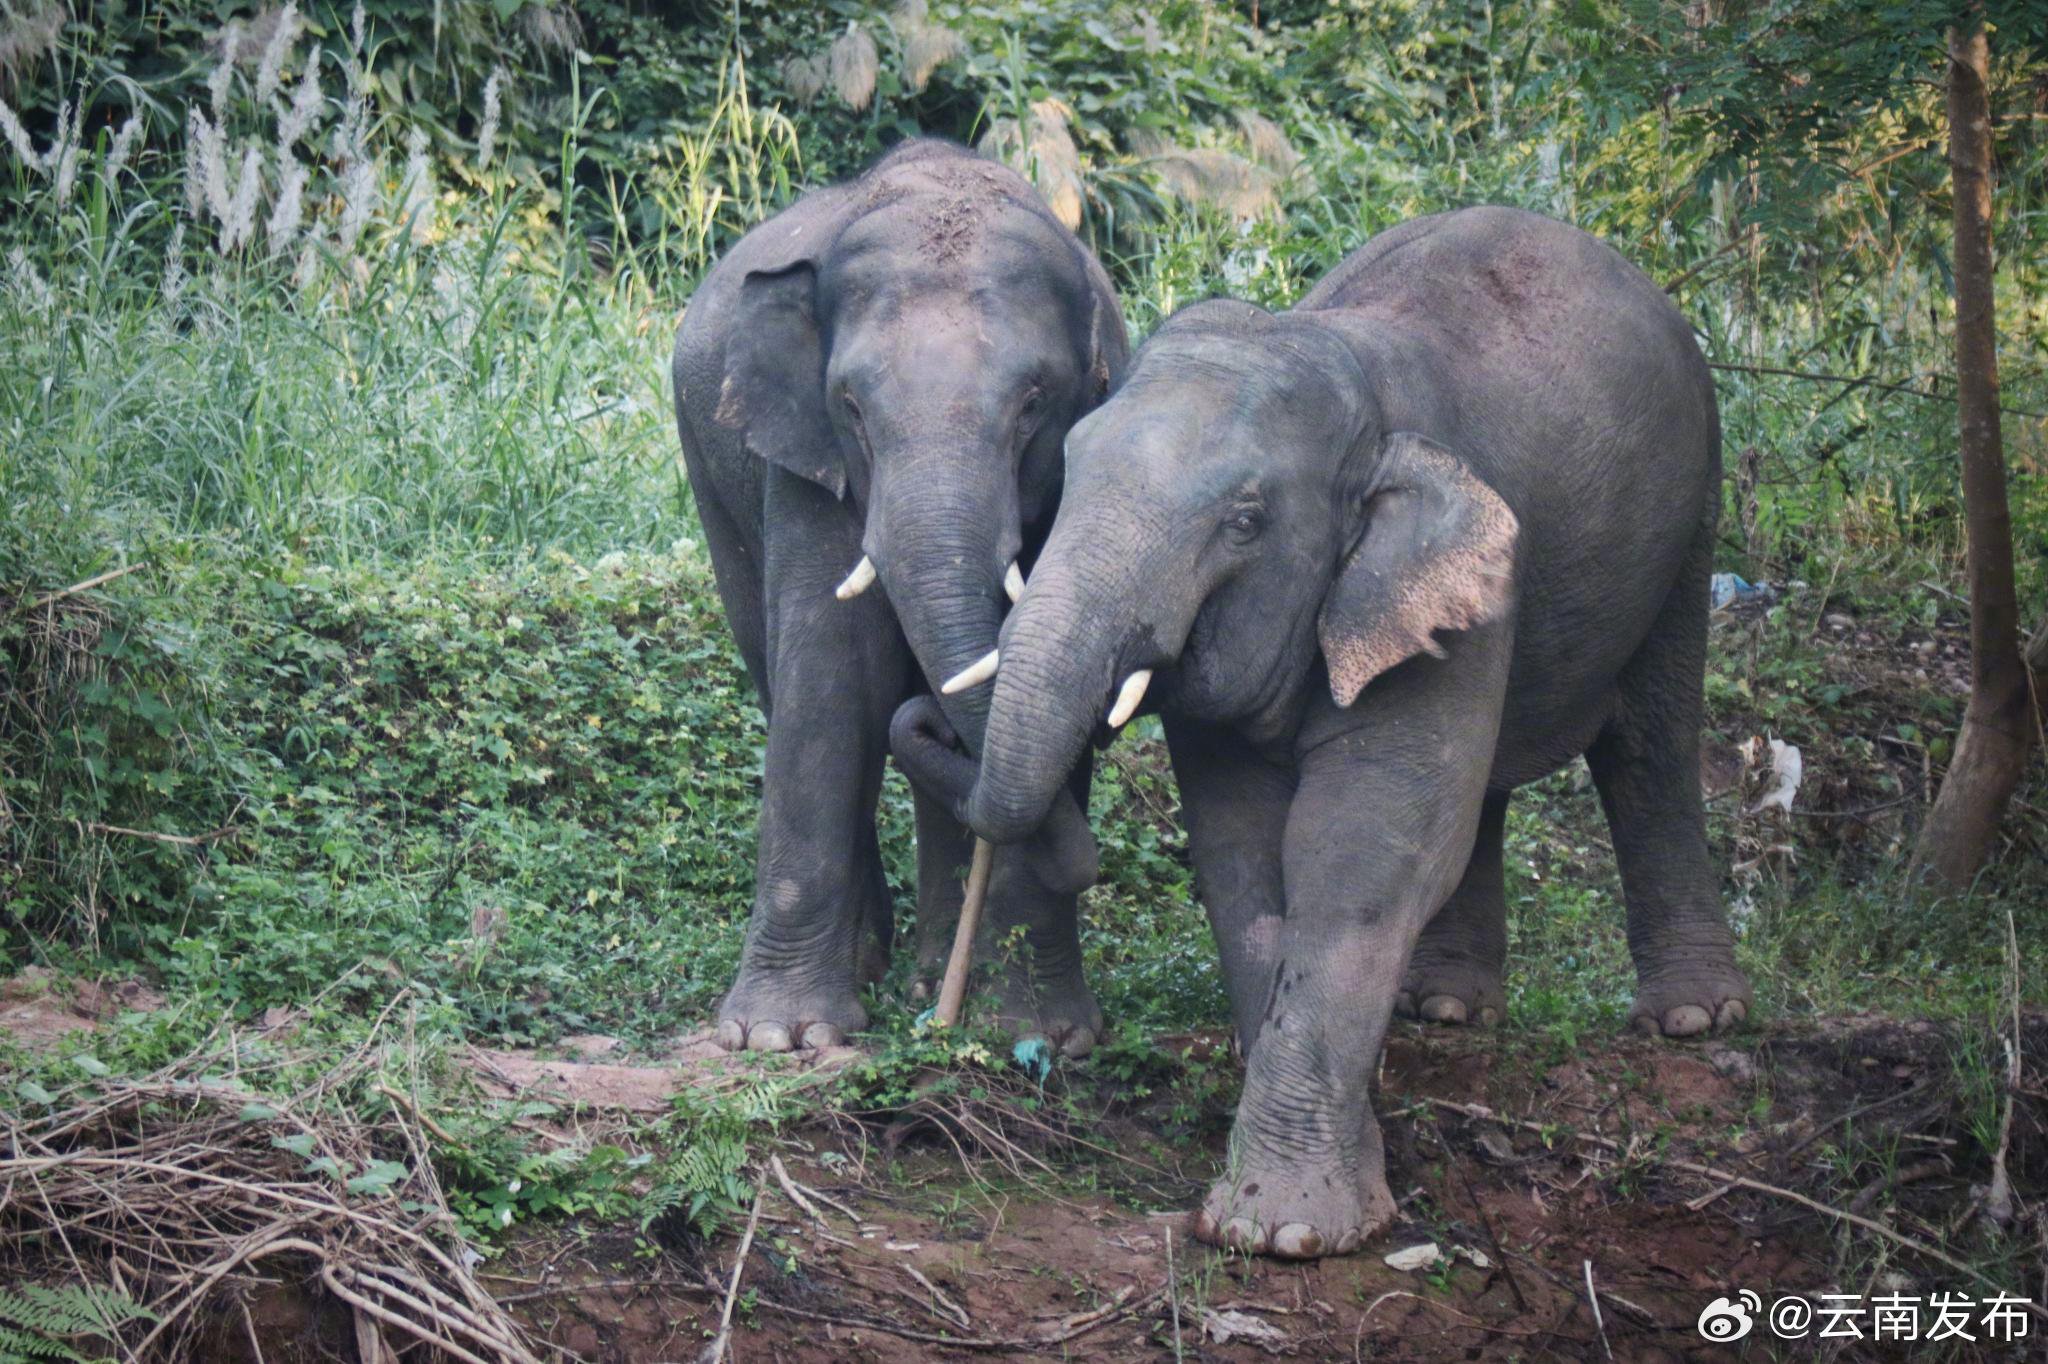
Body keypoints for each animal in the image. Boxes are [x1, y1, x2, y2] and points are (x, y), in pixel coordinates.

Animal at [671, 138, 1130, 1048]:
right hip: (710, 476)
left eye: (1034, 404)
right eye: (850, 405)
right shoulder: (807, 460)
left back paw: (933, 981)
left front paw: (1043, 1033)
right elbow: (834, 678)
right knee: (775, 672)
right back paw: (873, 971)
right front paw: (780, 1038)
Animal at [901, 204, 1761, 1253]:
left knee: (1649, 746)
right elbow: (1243, 854)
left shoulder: (1444, 582)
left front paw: (1287, 1232)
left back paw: (1695, 1020)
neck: (1343, 366)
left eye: (1245, 519)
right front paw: (1315, 1177)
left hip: (1695, 509)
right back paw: (1445, 1008)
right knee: (1490, 788)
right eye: (1067, 467)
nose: (926, 717)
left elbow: (1361, 849)